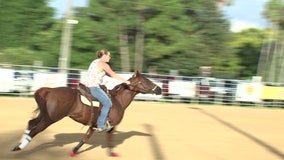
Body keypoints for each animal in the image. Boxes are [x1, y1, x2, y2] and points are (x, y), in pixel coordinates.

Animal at [11, 70, 162, 157]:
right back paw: (20, 147)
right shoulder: (111, 125)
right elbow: (110, 139)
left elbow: (85, 138)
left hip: (44, 115)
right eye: (145, 81)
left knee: (31, 123)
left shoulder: (93, 125)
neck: (117, 101)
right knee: (35, 130)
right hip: (51, 118)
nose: (159, 89)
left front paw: (74, 151)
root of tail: (49, 90)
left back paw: (17, 145)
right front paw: (112, 153)